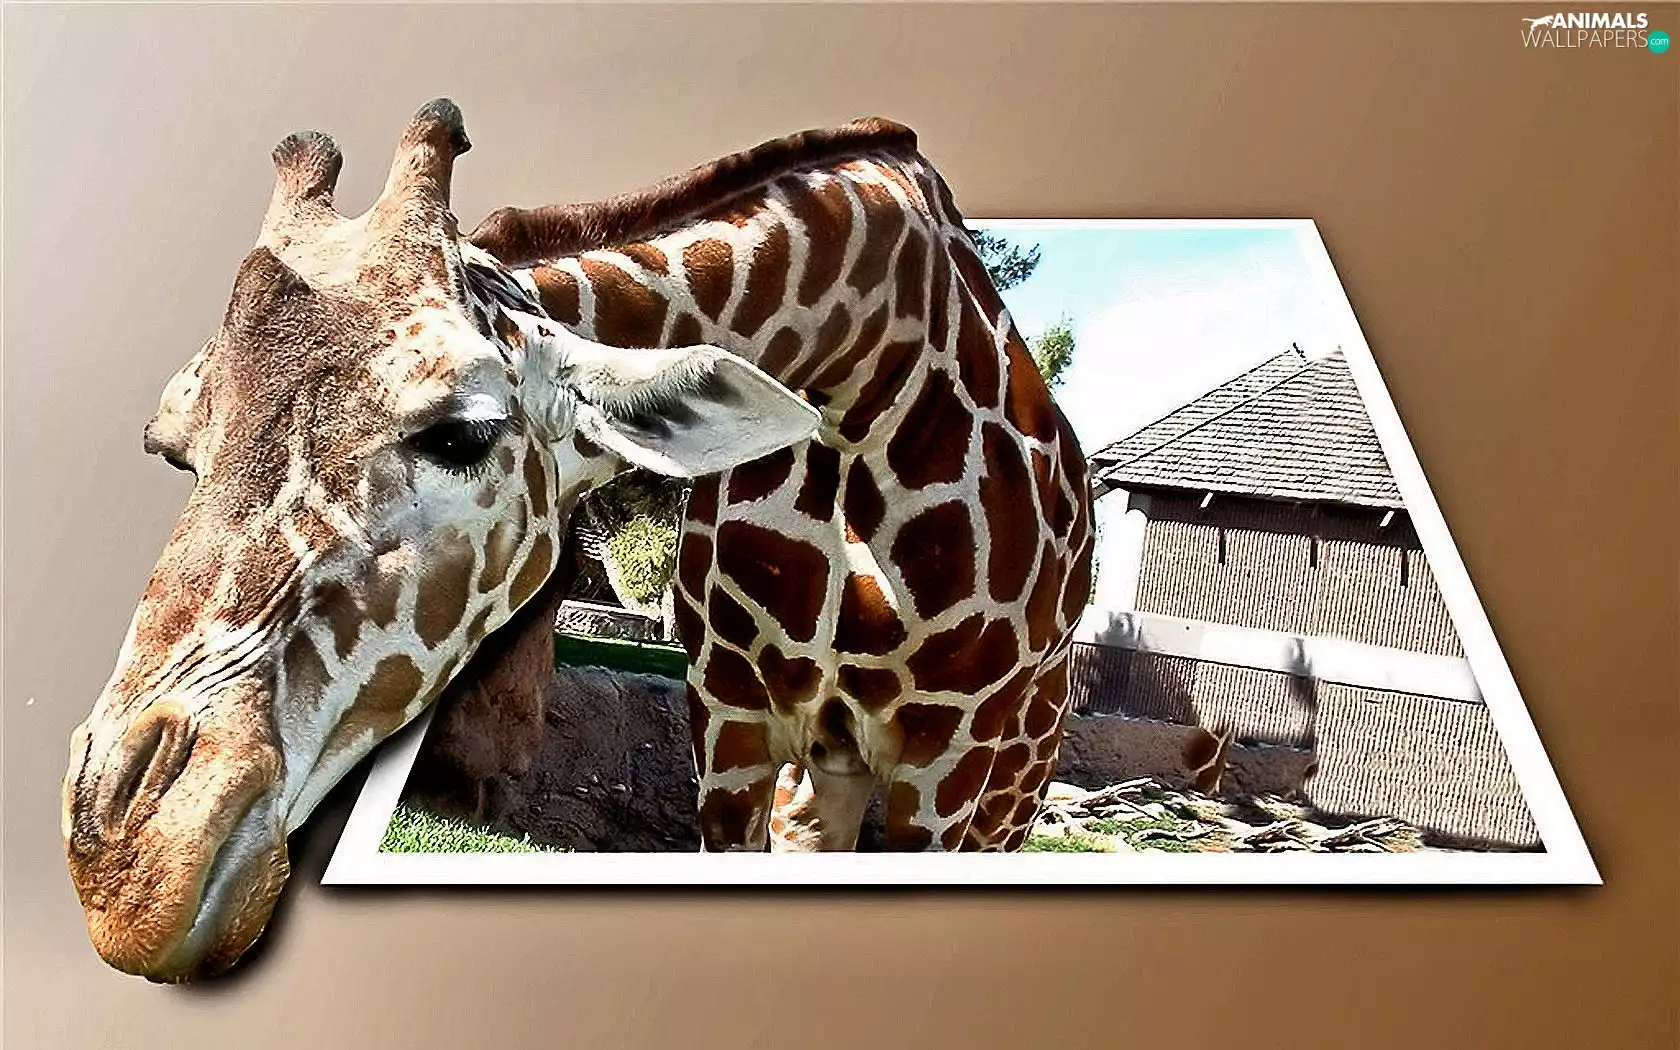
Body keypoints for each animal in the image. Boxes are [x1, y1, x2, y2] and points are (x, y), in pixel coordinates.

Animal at [60, 99, 1092, 983]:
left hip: (1009, 788)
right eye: (174, 447)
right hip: (824, 775)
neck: (865, 386)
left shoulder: (942, 768)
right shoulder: (730, 720)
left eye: (459, 435)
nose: (130, 874)